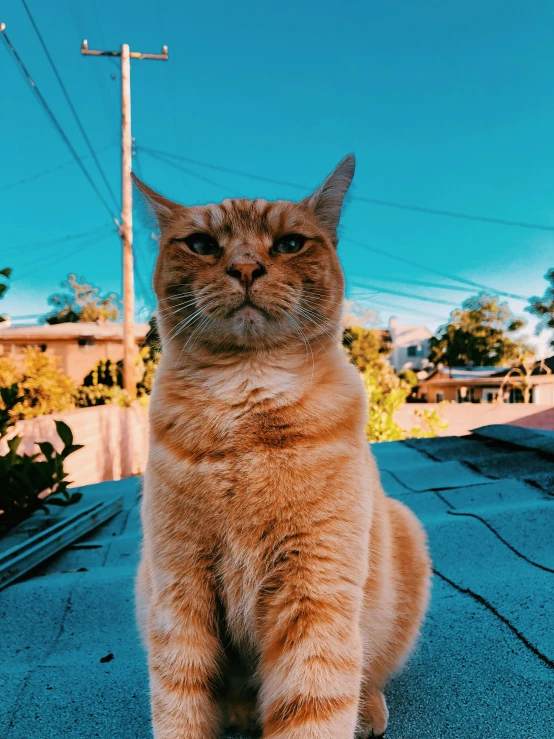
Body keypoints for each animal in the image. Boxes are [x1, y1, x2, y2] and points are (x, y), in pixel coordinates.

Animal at [135, 158, 432, 739]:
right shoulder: (179, 594)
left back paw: (369, 711)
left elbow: (312, 709)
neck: (244, 411)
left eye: (290, 243)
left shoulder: (313, 592)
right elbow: (180, 704)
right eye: (202, 245)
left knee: (369, 675)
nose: (246, 268)